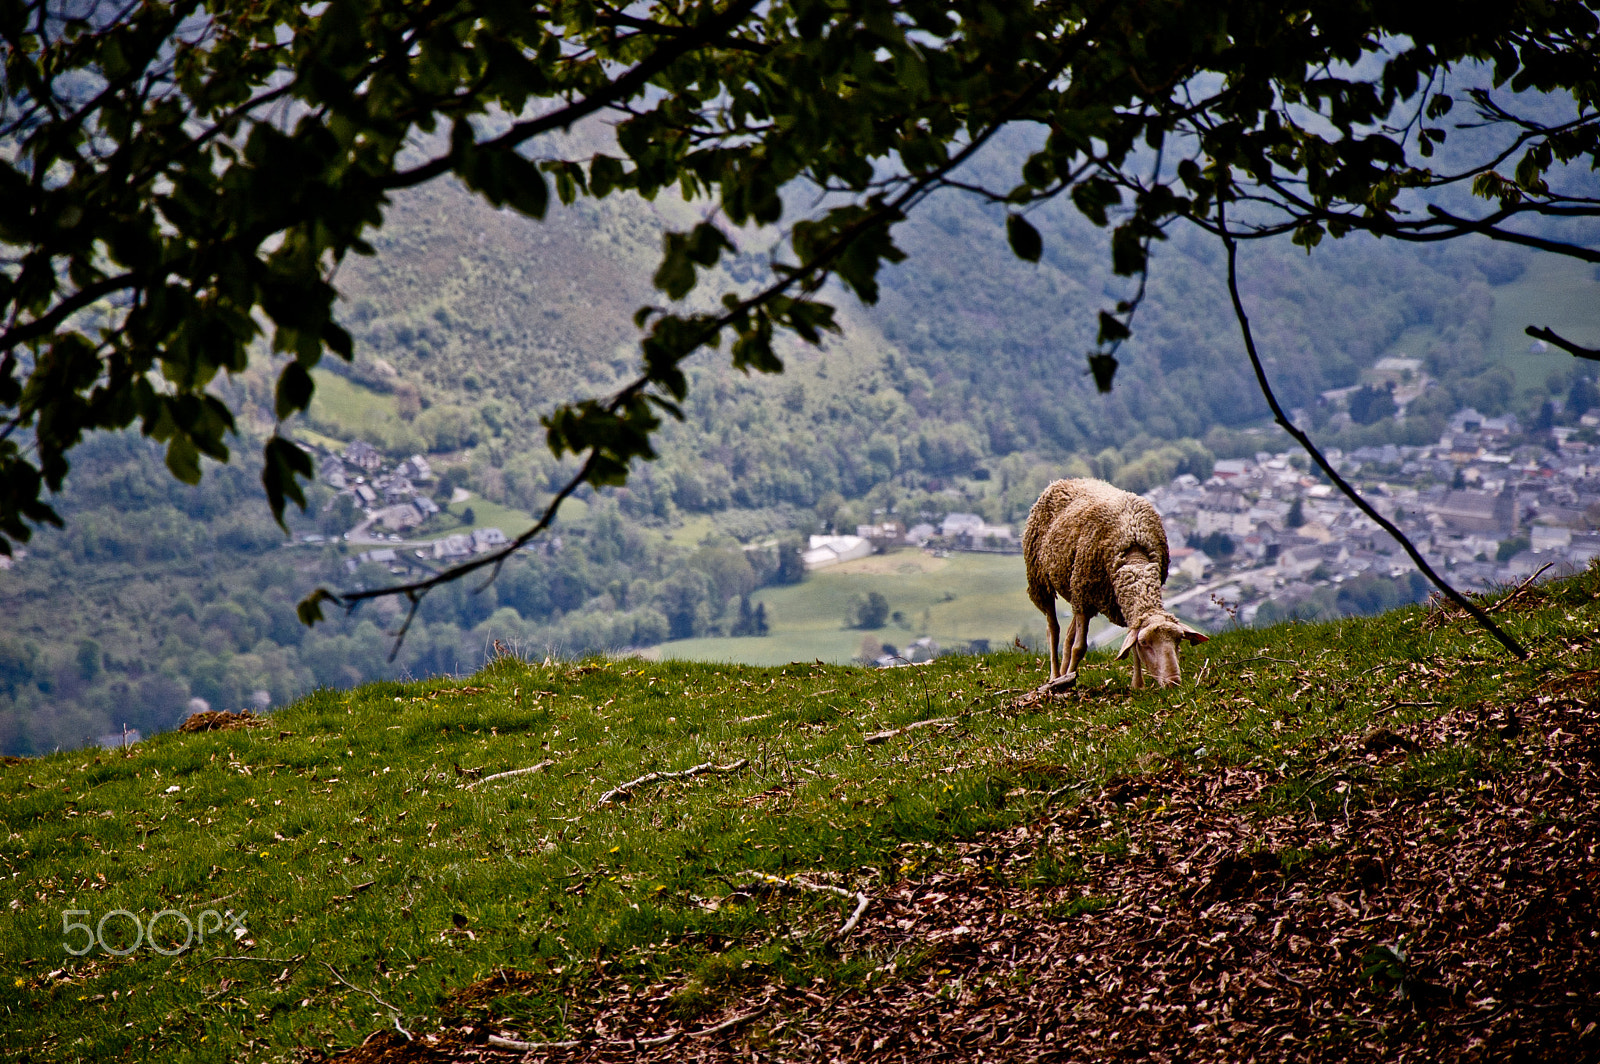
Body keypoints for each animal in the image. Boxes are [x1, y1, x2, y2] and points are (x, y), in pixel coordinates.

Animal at [1023, 477, 1207, 690]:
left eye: (1178, 641)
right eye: (1146, 643)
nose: (1173, 682)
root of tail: (1064, 480)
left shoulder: (1116, 601)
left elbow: (1129, 642)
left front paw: (1137, 685)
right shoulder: (1084, 597)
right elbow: (1080, 647)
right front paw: (1071, 680)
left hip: (1073, 589)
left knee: (1068, 634)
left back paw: (1062, 672)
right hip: (1040, 579)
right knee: (1053, 629)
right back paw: (1055, 675)